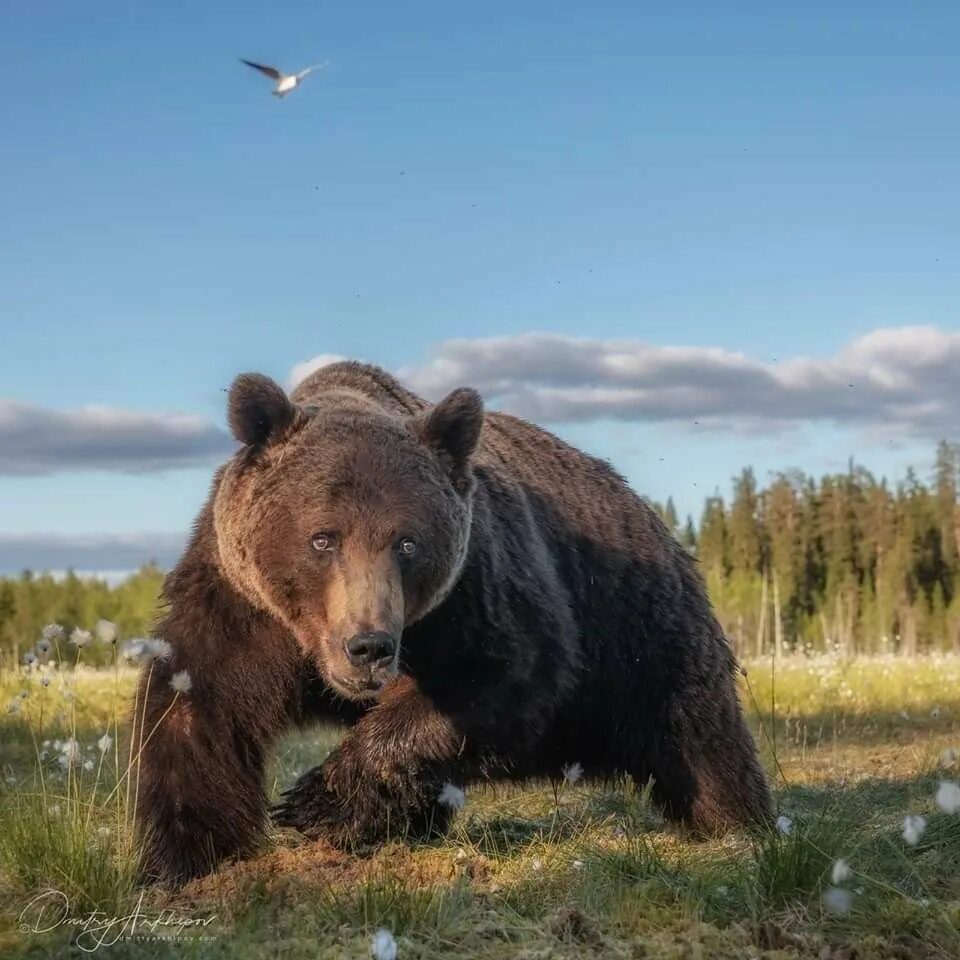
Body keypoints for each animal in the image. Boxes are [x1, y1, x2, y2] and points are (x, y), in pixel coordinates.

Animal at [135, 362, 768, 884]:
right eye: (322, 537)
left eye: (407, 542)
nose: (368, 647)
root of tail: (649, 513)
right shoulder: (243, 605)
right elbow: (201, 705)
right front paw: (185, 859)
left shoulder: (472, 592)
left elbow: (502, 678)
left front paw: (318, 802)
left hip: (638, 631)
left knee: (701, 743)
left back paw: (740, 825)